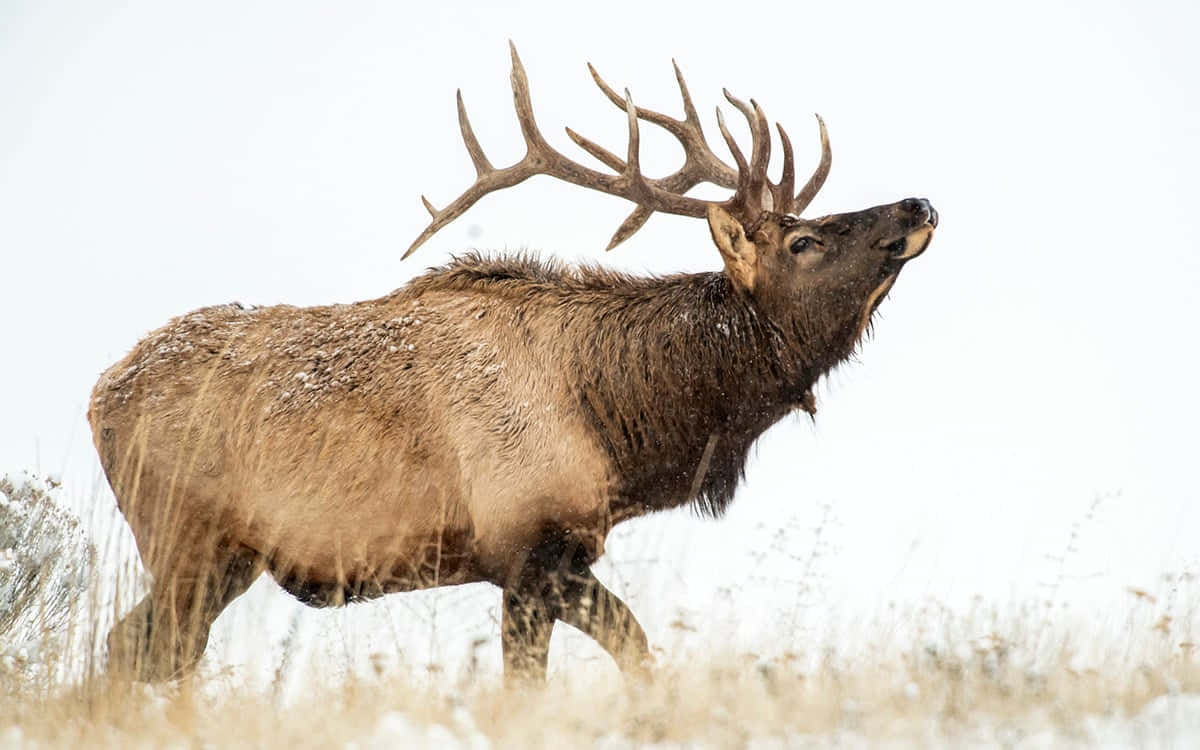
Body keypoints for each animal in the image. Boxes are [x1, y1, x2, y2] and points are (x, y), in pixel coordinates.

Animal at [88, 43, 937, 685]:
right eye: (804, 240)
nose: (918, 205)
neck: (623, 433)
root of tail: (99, 395)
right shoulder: (526, 548)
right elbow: (535, 683)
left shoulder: (565, 553)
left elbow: (639, 653)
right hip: (182, 536)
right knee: (156, 654)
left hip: (226, 559)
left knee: (128, 651)